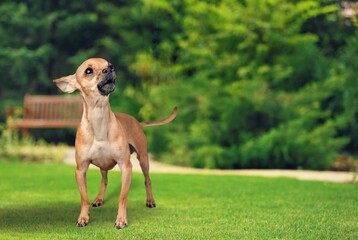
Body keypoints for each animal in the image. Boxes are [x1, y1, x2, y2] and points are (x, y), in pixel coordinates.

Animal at [52, 57, 176, 229]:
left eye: (109, 65)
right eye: (88, 71)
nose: (109, 70)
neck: (99, 120)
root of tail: (138, 122)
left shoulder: (126, 167)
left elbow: (122, 198)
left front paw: (121, 219)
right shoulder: (80, 170)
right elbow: (84, 198)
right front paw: (83, 217)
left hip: (143, 160)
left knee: (147, 180)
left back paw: (150, 201)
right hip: (103, 167)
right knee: (104, 181)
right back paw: (99, 199)